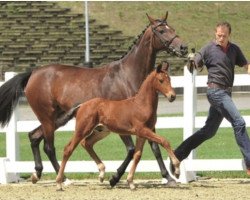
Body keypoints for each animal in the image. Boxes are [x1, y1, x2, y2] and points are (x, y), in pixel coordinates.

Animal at [56, 63, 180, 191]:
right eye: (161, 80)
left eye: (170, 79)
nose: (172, 96)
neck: (141, 104)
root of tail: (82, 105)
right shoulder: (143, 130)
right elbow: (164, 141)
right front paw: (176, 170)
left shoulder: (142, 134)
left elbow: (137, 155)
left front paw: (130, 182)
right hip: (82, 129)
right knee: (68, 149)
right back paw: (59, 183)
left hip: (102, 131)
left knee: (87, 143)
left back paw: (102, 173)